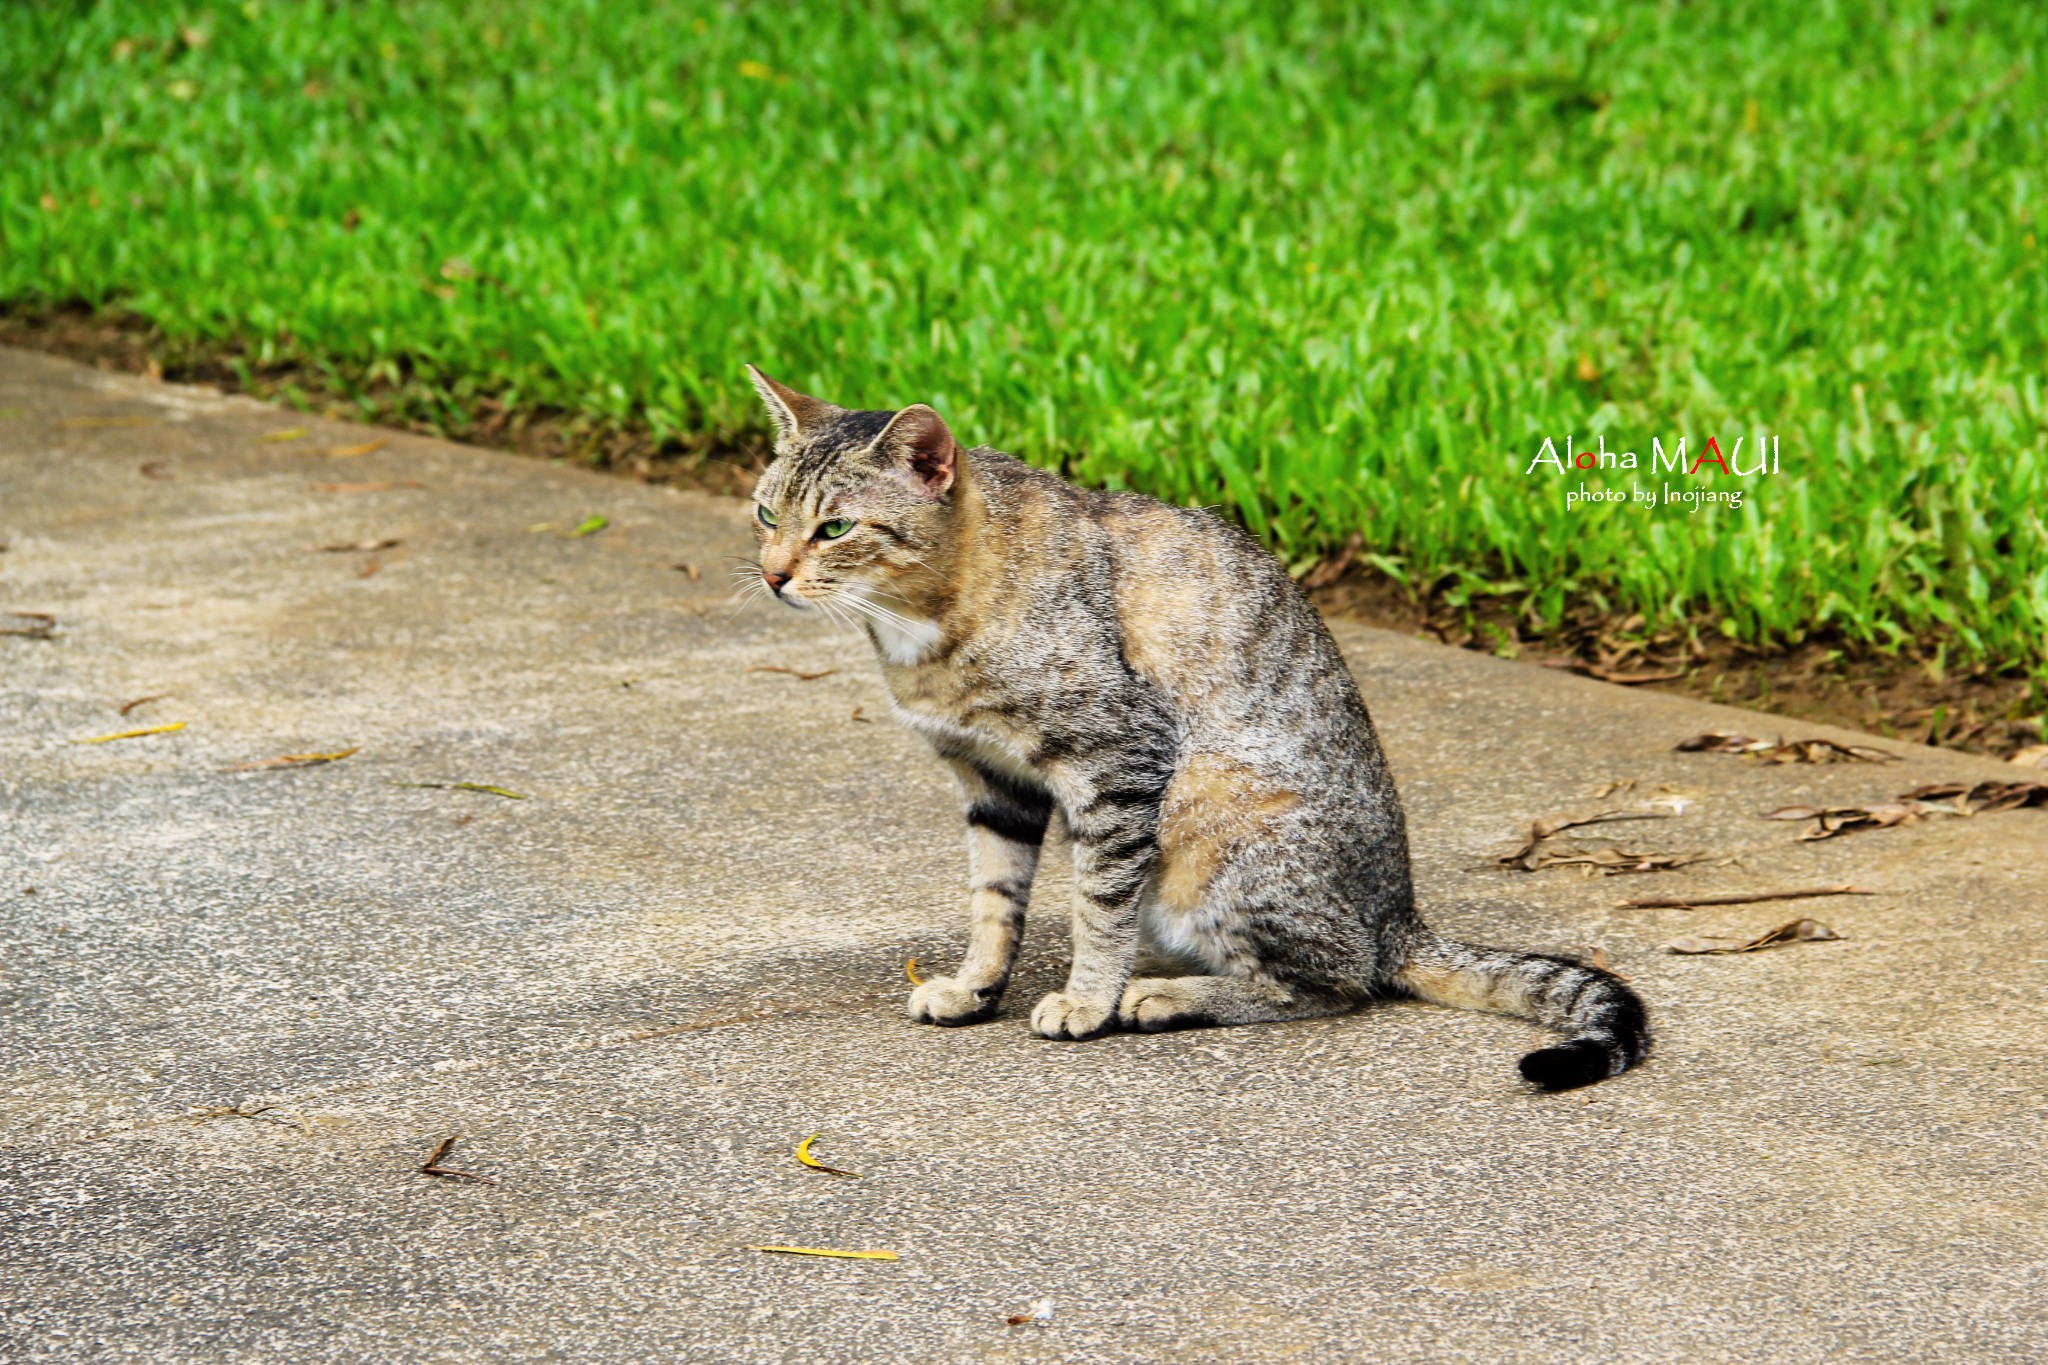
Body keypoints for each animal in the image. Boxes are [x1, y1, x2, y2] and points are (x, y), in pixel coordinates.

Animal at [745, 368, 1654, 1096]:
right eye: (764, 514)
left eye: (834, 528)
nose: (773, 574)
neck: (923, 624)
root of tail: (1398, 917)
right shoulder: (992, 782)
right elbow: (994, 902)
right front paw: (977, 984)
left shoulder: (1119, 761)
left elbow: (1098, 904)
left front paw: (1087, 996)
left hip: (1213, 808)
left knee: (1338, 980)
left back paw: (1164, 993)